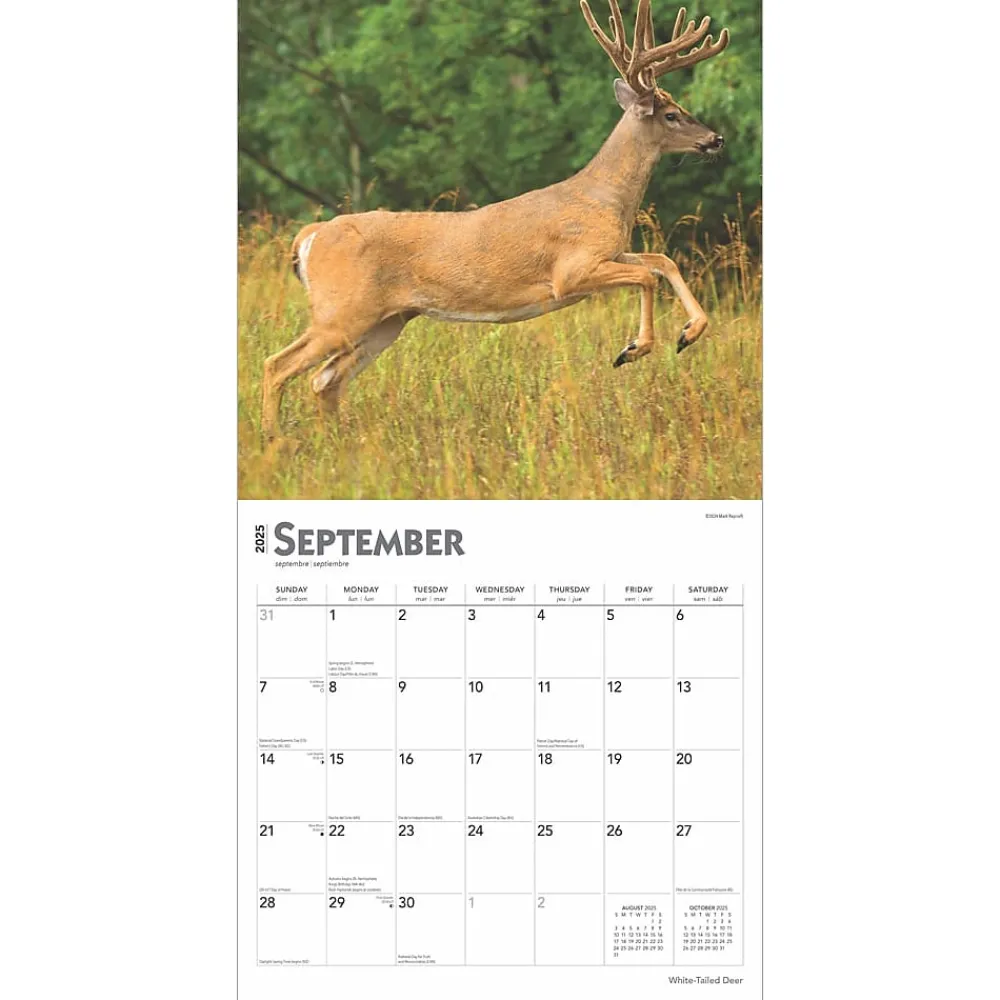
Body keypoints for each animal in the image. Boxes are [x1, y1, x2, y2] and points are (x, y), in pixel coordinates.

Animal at [261, 1, 729, 440]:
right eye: (671, 114)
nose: (716, 139)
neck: (605, 200)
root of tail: (310, 236)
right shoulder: (571, 272)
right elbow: (648, 275)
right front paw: (633, 348)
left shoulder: (610, 253)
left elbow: (662, 262)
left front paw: (689, 333)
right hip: (341, 311)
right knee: (278, 364)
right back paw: (273, 439)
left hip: (385, 322)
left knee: (325, 380)